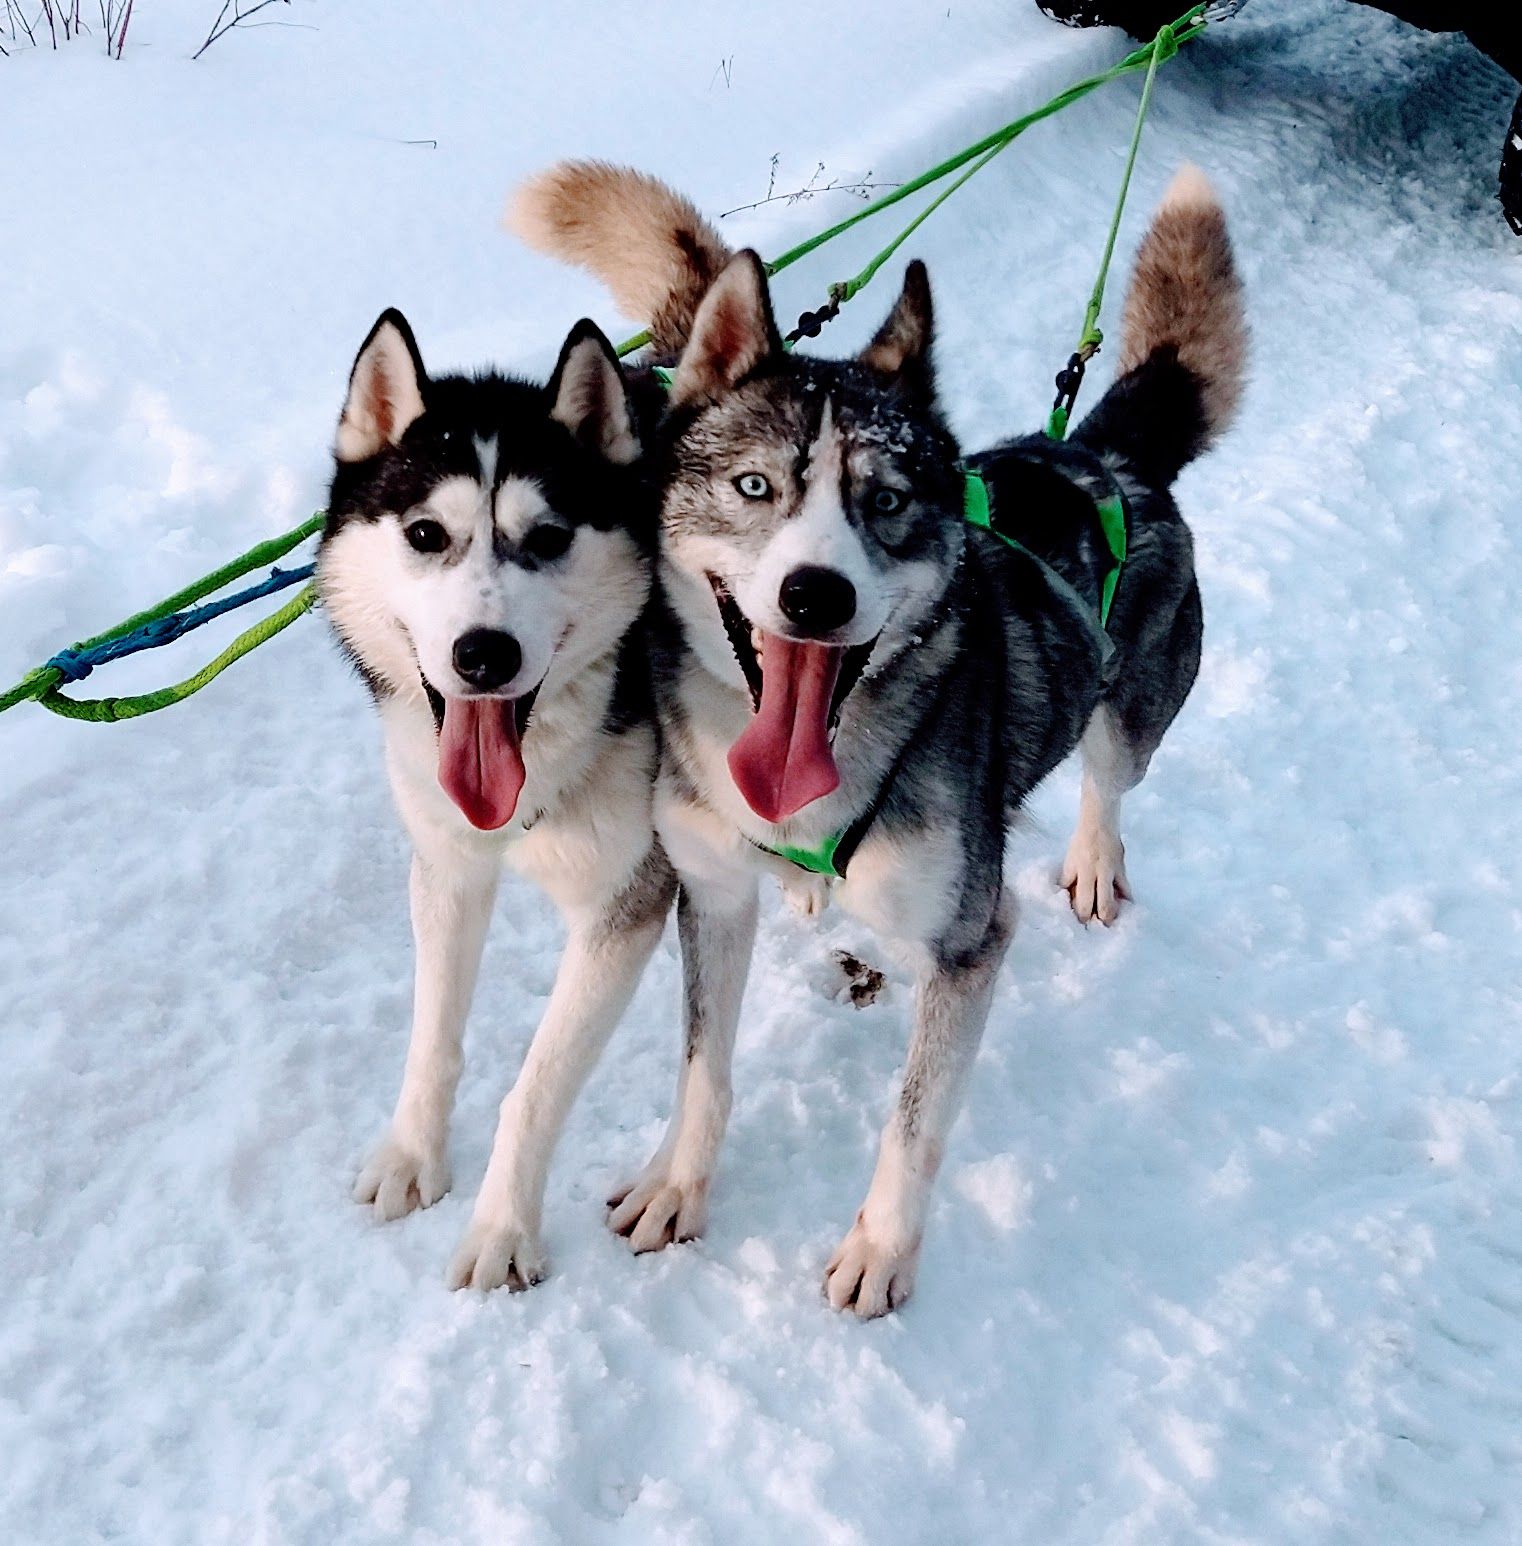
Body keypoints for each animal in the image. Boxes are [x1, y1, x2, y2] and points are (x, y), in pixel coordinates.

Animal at [317, 307, 675, 1291]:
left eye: (548, 537)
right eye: (425, 535)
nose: (484, 654)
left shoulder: (623, 906)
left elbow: (536, 1086)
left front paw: (502, 1230)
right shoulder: (449, 870)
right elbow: (432, 1037)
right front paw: (414, 1156)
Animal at [511, 160, 1246, 1314]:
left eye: (888, 500)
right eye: (755, 486)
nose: (816, 594)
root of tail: (1101, 455)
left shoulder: (970, 941)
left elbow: (914, 1121)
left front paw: (880, 1252)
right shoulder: (711, 893)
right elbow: (703, 1065)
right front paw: (679, 1186)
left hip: (1128, 718)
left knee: (1108, 781)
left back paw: (1091, 860)